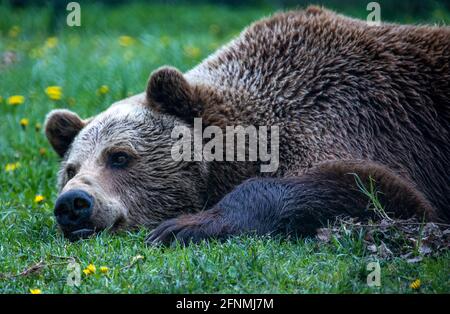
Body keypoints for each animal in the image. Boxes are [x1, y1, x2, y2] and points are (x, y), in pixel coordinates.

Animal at [44, 6, 448, 243]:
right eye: (71, 169)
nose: (73, 203)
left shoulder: (352, 116)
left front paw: (181, 226)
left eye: (119, 156)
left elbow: (379, 187)